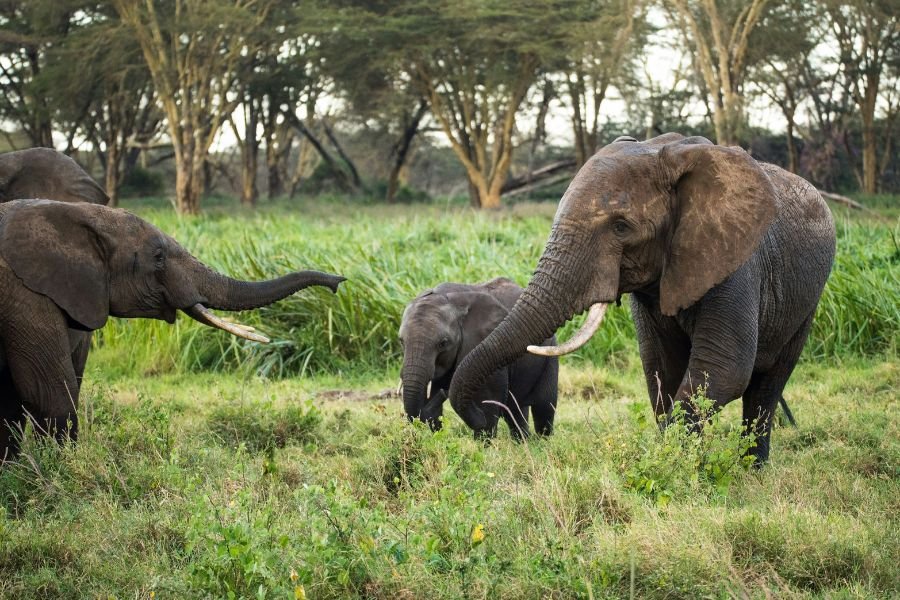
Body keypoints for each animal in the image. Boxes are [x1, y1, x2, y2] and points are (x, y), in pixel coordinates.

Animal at [0, 199, 344, 459]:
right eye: (158, 256)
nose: (338, 282)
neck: (71, 213)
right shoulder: (24, 296)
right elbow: (49, 394)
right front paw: (60, 471)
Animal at [399, 278, 558, 440]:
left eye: (443, 343)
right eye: (401, 341)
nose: (444, 392)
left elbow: (488, 402)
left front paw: (483, 443)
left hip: (549, 353)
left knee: (543, 406)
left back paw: (542, 441)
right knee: (516, 410)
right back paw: (523, 441)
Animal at [448, 133, 836, 464]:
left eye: (621, 227)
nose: (483, 424)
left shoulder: (736, 261)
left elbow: (723, 367)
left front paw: (672, 465)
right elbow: (661, 368)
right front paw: (677, 459)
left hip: (807, 302)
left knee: (767, 384)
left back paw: (753, 469)